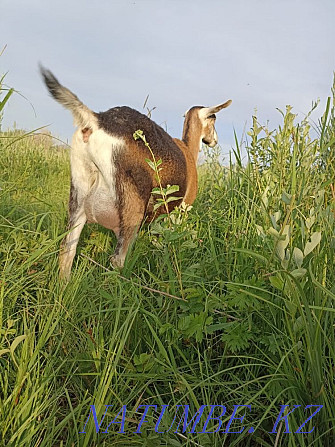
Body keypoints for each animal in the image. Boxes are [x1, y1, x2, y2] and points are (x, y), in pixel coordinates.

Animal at [39, 66, 232, 278]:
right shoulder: (182, 209)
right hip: (132, 202)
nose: (214, 140)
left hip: (79, 191)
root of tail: (95, 119)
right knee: (117, 260)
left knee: (67, 250)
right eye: (213, 119)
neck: (188, 150)